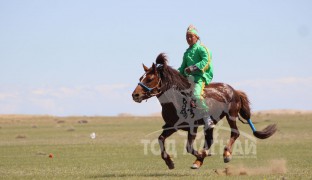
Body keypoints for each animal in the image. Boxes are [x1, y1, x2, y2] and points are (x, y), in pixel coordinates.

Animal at [131, 52, 276, 169]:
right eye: (140, 78)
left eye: (150, 79)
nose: (135, 95)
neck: (176, 100)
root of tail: (234, 90)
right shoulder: (172, 126)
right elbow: (160, 139)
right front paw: (170, 162)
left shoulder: (192, 127)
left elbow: (189, 148)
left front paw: (201, 155)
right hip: (211, 123)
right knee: (210, 139)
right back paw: (200, 160)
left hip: (231, 116)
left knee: (235, 133)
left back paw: (226, 154)